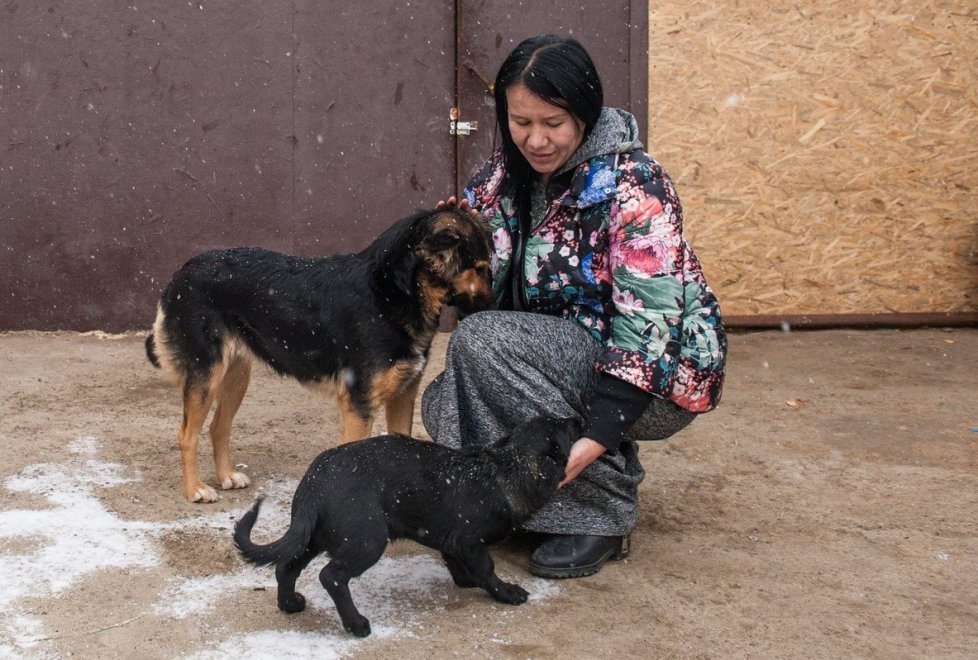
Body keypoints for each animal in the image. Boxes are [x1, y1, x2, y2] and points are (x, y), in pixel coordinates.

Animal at [145, 209, 492, 502]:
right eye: (482, 269)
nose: (493, 307)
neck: (393, 293)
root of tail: (181, 272)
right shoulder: (358, 404)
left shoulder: (402, 395)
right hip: (207, 375)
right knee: (186, 434)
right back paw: (195, 489)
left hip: (236, 376)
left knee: (218, 426)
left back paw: (226, 476)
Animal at [233, 416, 576, 636]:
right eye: (565, 428)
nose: (575, 415)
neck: (505, 467)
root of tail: (314, 481)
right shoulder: (470, 540)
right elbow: (487, 570)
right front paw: (506, 592)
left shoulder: (451, 541)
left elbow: (456, 562)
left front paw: (465, 580)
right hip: (367, 539)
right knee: (332, 576)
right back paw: (356, 624)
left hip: (312, 534)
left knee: (286, 566)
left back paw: (290, 604)